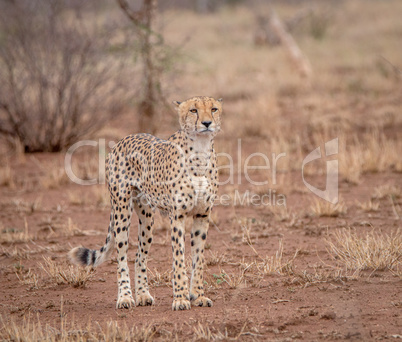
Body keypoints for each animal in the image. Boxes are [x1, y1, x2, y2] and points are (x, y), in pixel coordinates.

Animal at [67, 95, 221, 310]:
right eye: (193, 110)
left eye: (214, 109)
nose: (207, 123)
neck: (200, 150)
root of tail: (125, 138)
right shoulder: (178, 216)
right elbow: (179, 259)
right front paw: (180, 298)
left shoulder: (202, 215)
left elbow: (198, 258)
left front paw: (198, 296)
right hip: (121, 209)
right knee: (122, 255)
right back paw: (125, 297)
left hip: (147, 217)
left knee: (140, 256)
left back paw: (143, 295)